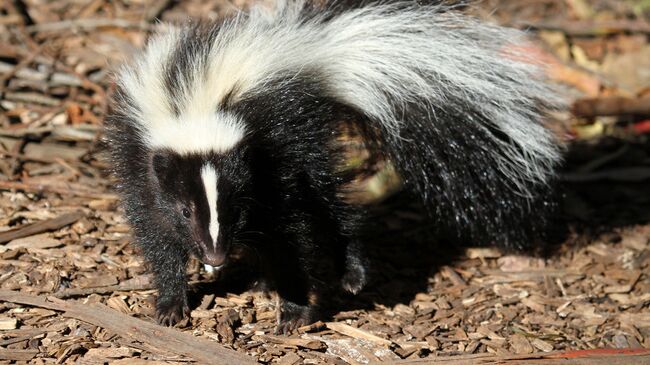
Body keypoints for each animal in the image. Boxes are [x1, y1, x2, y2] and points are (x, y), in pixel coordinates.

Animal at [104, 0, 560, 330]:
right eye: (186, 210)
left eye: (235, 209)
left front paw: (292, 309)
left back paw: (352, 272)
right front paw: (170, 303)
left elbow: (292, 229)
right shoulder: (139, 155)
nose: (215, 255)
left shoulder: (274, 145)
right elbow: (154, 227)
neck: (195, 104)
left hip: (306, 134)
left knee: (329, 204)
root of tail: (312, 51)